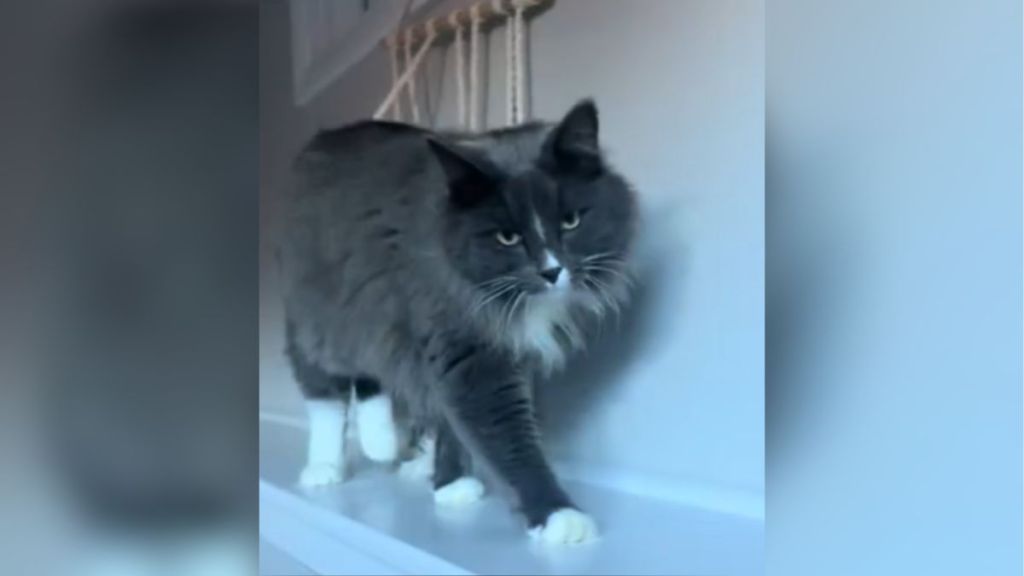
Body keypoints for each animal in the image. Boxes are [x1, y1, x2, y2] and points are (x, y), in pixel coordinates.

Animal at [276, 99, 634, 541]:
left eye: (570, 221)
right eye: (507, 238)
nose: (552, 271)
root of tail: (324, 138)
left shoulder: (479, 356)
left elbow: (452, 425)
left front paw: (448, 483)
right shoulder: (468, 354)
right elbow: (510, 442)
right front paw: (557, 515)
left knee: (375, 383)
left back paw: (391, 449)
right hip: (319, 326)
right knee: (324, 394)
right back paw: (325, 467)